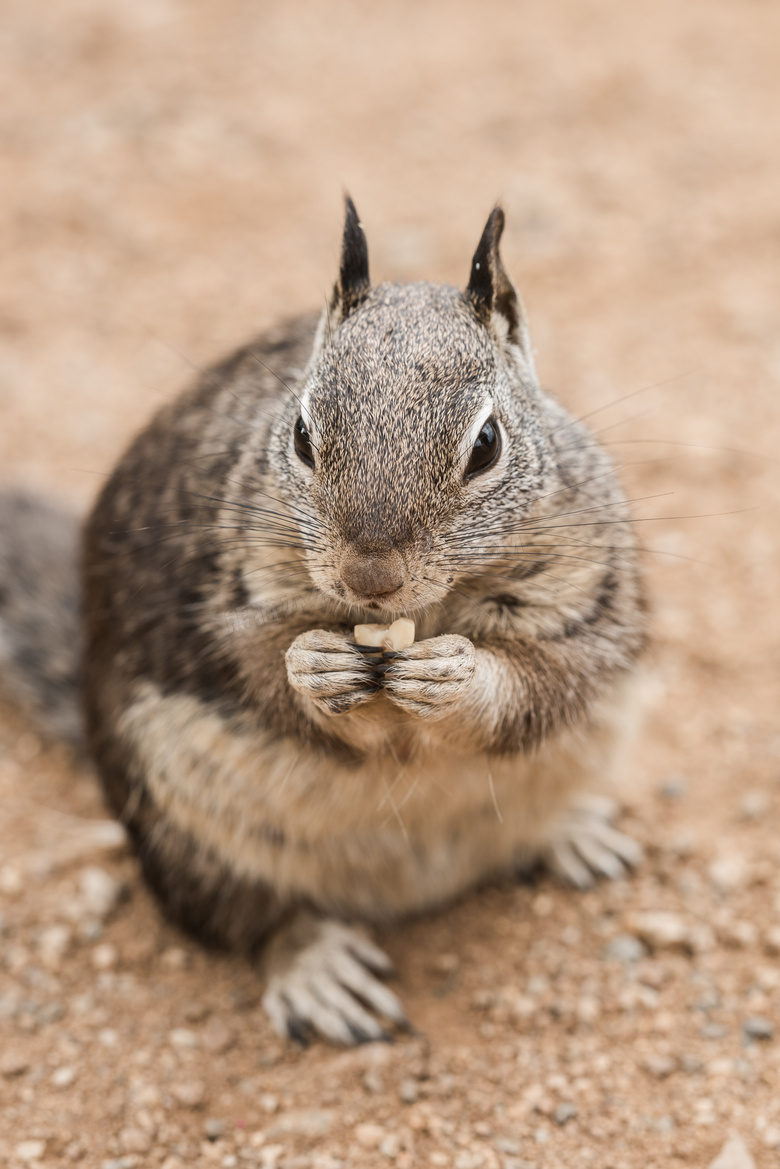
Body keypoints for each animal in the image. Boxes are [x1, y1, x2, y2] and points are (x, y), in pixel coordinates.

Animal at [0, 198, 645, 1042]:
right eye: (302, 434)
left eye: (487, 443)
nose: (369, 578)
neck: (416, 614)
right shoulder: (234, 597)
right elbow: (262, 670)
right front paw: (314, 666)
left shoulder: (589, 588)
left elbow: (551, 677)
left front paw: (458, 674)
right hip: (181, 833)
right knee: (249, 921)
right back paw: (315, 965)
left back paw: (573, 830)